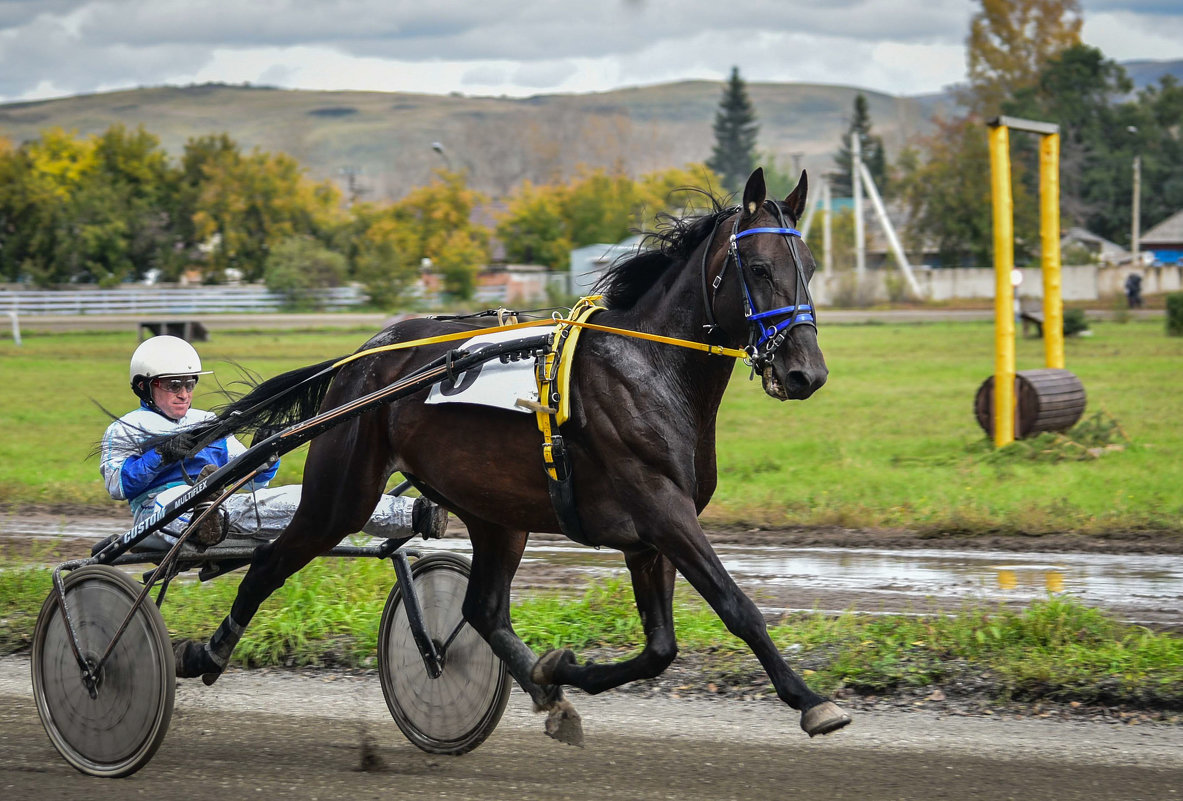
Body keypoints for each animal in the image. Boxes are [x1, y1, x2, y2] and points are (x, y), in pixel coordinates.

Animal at [164, 169, 851, 743]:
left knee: (483, 609)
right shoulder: (662, 510)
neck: (648, 367)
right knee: (270, 562)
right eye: (758, 268)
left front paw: (560, 670)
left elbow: (661, 648)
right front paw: (811, 700)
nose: (806, 372)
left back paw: (544, 691)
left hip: (496, 512)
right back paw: (205, 652)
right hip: (341, 495)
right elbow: (737, 607)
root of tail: (365, 354)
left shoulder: (648, 536)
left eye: (811, 265)